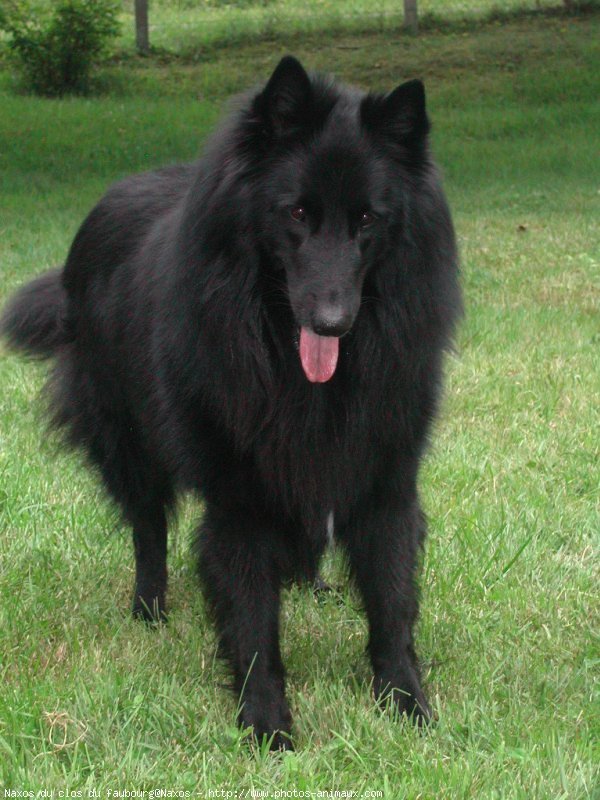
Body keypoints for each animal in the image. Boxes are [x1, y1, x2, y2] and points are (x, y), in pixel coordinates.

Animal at [1, 56, 460, 752]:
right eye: (295, 212)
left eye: (368, 221)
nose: (332, 322)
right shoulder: (239, 499)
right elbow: (251, 620)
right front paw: (267, 727)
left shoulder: (384, 479)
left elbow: (391, 602)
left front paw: (407, 705)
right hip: (127, 444)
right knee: (148, 530)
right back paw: (149, 611)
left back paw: (313, 584)